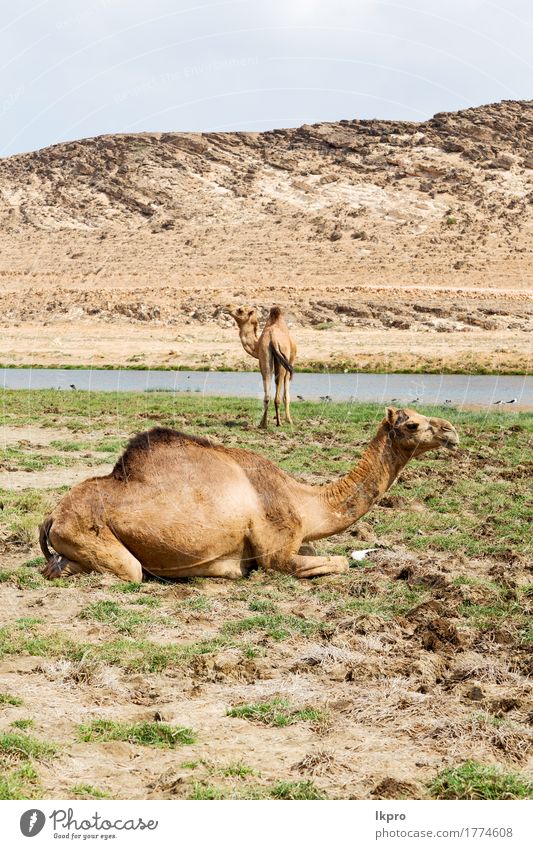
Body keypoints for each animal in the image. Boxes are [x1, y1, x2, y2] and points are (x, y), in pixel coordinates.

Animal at [40, 406, 458, 584]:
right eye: (413, 424)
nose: (451, 430)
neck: (304, 499)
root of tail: (51, 516)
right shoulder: (276, 552)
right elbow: (338, 562)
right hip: (91, 536)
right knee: (126, 571)